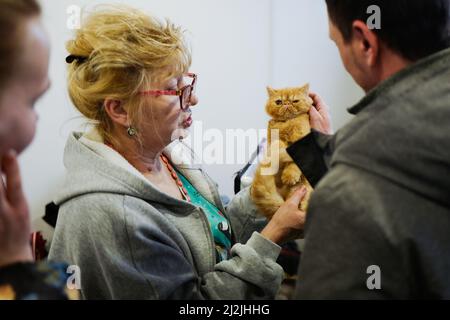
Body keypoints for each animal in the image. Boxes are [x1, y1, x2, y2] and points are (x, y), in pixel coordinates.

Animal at [251, 84, 314, 219]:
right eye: (279, 102)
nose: (286, 103)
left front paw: (290, 176)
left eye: (295, 101)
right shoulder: (273, 141)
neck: (287, 124)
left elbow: (294, 165)